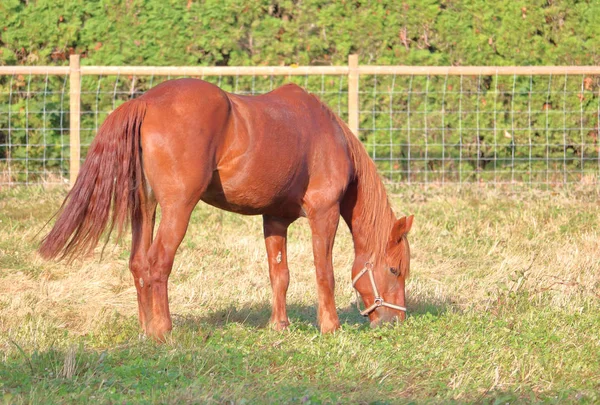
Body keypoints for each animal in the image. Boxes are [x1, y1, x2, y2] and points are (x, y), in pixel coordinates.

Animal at [37, 77, 412, 340]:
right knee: (158, 263)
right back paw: (163, 330)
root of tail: (145, 103)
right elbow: (325, 273)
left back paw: (146, 329)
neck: (329, 137)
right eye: (394, 270)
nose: (396, 321)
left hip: (145, 208)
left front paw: (279, 325)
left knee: (139, 263)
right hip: (178, 209)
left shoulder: (275, 218)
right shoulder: (324, 213)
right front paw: (330, 326)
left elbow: (280, 274)